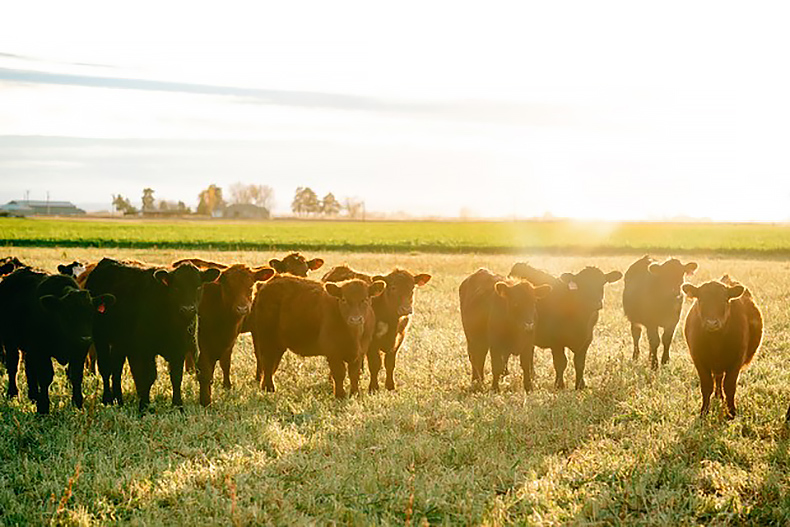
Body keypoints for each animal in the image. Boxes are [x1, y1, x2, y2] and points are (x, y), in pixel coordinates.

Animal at [0, 268, 114, 413]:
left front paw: (78, 403)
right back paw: (13, 393)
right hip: (10, 342)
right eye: (68, 313)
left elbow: (76, 375)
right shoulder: (41, 350)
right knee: (13, 365)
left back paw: (33, 396)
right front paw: (43, 408)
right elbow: (45, 376)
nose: (85, 338)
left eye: (91, 313)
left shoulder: (79, 351)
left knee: (29, 367)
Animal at [84, 258, 219, 411]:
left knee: (116, 368)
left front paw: (178, 406)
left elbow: (176, 377)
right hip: (101, 337)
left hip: (121, 343)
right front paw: (144, 406)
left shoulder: (179, 350)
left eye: (198, 287)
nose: (187, 310)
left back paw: (119, 399)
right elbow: (147, 377)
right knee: (105, 368)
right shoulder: (145, 349)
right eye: (176, 288)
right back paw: (107, 399)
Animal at [187, 262, 275, 406]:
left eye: (250, 286)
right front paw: (205, 399)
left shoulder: (230, 339)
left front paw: (227, 385)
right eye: (228, 287)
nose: (242, 308)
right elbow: (205, 369)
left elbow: (225, 363)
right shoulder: (202, 341)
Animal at [249, 275, 385, 398]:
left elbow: (354, 374)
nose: (355, 319)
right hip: (267, 339)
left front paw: (355, 394)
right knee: (267, 362)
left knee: (272, 363)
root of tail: (265, 284)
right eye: (344, 299)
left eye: (365, 299)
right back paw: (268, 388)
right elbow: (339, 373)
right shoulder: (333, 351)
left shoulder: (360, 352)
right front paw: (340, 395)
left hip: (278, 344)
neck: (354, 336)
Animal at [683, 275, 762, 419]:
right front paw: (704, 412)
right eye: (701, 300)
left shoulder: (736, 361)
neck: (716, 342)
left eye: (725, 300)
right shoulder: (699, 360)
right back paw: (718, 396)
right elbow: (706, 386)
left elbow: (729, 386)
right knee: (718, 379)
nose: (712, 323)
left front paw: (731, 412)